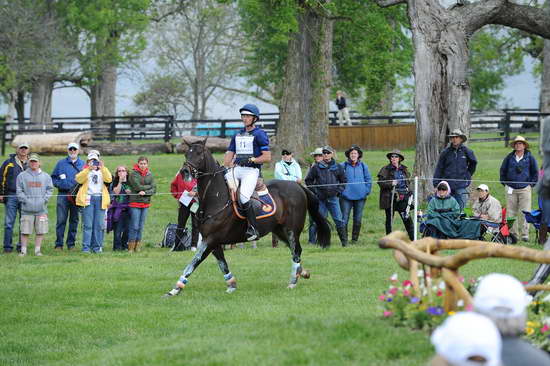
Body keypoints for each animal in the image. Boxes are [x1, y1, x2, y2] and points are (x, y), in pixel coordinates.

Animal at [162, 139, 330, 296]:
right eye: (186, 154)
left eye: (199, 154)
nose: (184, 172)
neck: (216, 197)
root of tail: (298, 186)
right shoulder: (213, 241)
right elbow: (222, 264)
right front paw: (231, 285)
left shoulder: (211, 240)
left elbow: (193, 263)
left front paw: (175, 289)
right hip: (279, 230)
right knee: (296, 251)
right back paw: (302, 272)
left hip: (291, 230)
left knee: (295, 251)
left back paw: (293, 281)